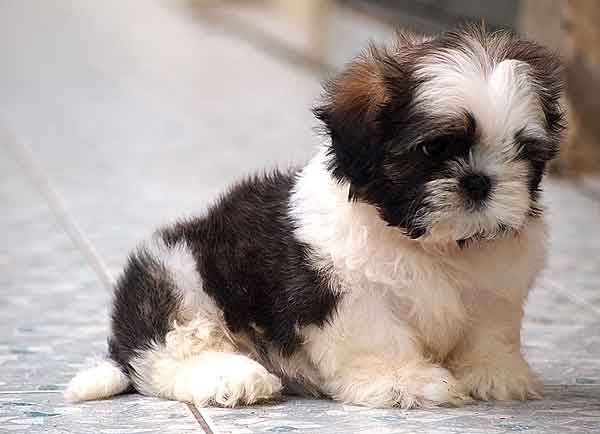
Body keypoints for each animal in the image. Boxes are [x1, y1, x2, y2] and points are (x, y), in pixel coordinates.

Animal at [65, 25, 564, 409]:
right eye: (434, 148)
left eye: (524, 151)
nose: (479, 181)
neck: (431, 244)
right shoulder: (342, 289)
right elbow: (378, 336)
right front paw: (404, 382)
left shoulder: (497, 289)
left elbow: (490, 332)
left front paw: (494, 374)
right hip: (178, 272)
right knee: (171, 354)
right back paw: (234, 378)